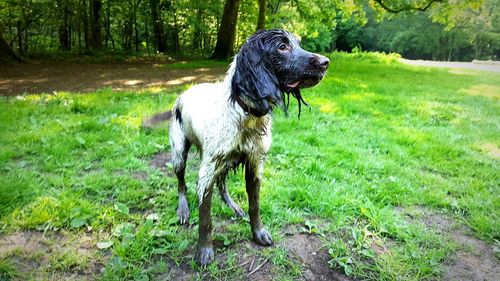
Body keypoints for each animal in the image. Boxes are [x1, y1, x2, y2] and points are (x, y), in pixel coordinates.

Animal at [143, 28, 328, 264]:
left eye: (298, 43)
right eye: (282, 47)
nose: (326, 62)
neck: (245, 114)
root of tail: (182, 94)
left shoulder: (255, 165)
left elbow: (254, 206)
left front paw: (258, 233)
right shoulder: (206, 171)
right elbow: (205, 218)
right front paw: (204, 251)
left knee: (222, 185)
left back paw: (232, 205)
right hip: (179, 153)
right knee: (181, 183)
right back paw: (183, 209)